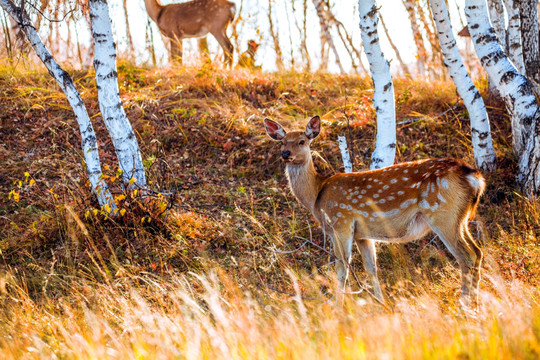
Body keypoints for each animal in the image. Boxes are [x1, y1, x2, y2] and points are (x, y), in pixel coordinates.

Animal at [264, 116, 486, 306]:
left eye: (302, 141)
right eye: (282, 142)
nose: (286, 154)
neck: (317, 195)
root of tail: (474, 177)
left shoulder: (340, 222)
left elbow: (342, 268)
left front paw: (338, 307)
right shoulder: (362, 234)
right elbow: (371, 269)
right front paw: (381, 304)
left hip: (442, 214)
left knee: (467, 256)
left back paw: (465, 305)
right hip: (459, 218)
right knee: (477, 252)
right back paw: (473, 303)